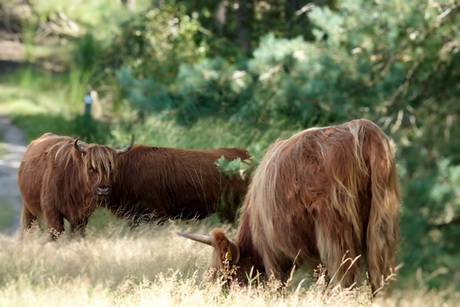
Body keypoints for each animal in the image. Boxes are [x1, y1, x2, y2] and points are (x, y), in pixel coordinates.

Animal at [178, 119, 400, 294]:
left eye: (220, 277)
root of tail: (363, 127)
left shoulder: (271, 252)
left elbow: (278, 286)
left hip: (334, 233)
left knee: (346, 280)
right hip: (382, 224)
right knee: (380, 277)